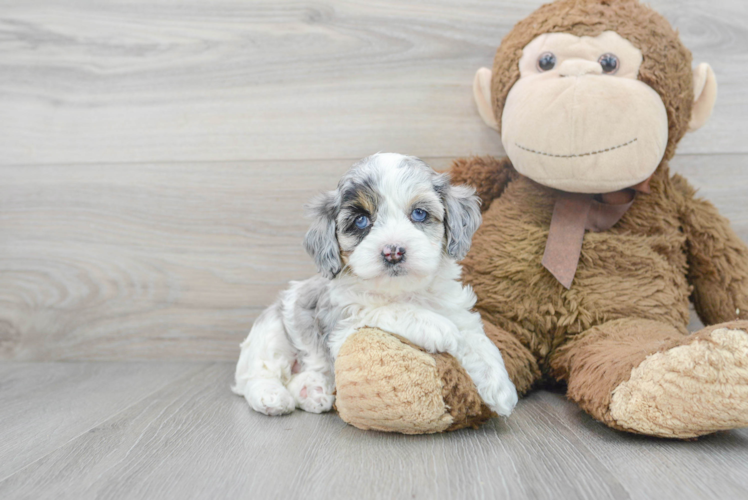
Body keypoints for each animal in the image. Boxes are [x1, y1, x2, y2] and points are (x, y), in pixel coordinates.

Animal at [231, 153, 516, 418]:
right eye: (361, 221)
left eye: (419, 213)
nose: (393, 251)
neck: (404, 290)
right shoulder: (344, 324)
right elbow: (386, 310)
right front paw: (435, 326)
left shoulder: (457, 312)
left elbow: (478, 342)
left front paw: (500, 388)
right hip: (271, 333)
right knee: (255, 376)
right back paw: (272, 396)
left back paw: (312, 391)